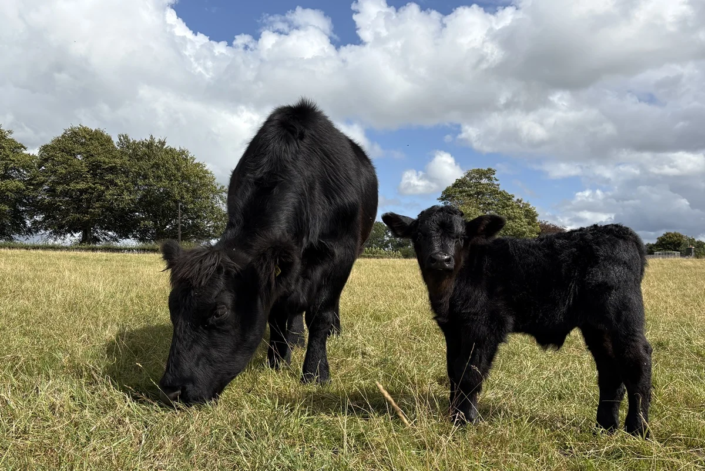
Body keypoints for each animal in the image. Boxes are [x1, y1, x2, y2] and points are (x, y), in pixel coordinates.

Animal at [158, 99, 378, 405]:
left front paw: (316, 373)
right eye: (172, 306)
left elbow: (319, 314)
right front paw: (278, 361)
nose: (171, 389)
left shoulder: (341, 252)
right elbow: (276, 312)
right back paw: (295, 339)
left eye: (219, 311)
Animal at [382, 205, 652, 437]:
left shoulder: (483, 326)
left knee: (637, 362)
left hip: (623, 317)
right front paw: (453, 416)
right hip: (596, 327)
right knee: (610, 371)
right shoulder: (453, 330)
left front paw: (465, 420)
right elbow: (453, 372)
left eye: (460, 236)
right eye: (419, 235)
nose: (441, 259)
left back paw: (638, 430)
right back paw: (604, 427)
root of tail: (620, 231)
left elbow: (469, 373)